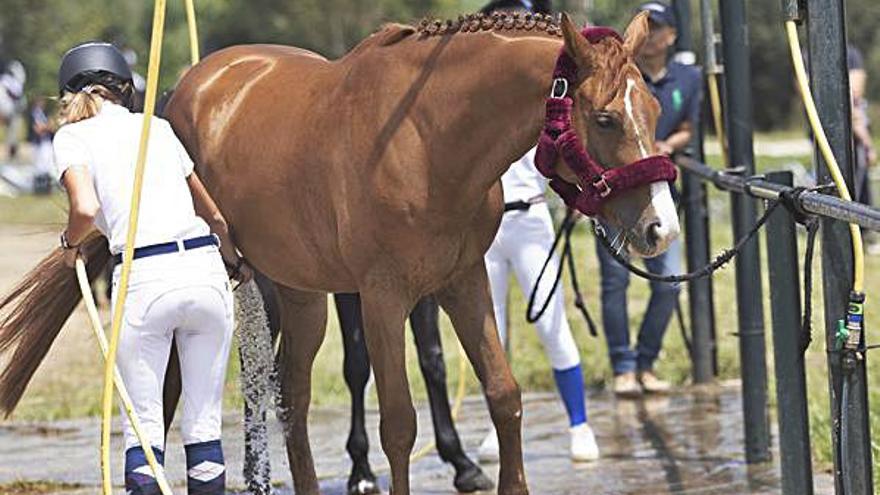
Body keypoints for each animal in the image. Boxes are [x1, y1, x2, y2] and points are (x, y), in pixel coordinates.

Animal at [0, 10, 676, 495]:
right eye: (606, 118)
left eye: (654, 108)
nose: (659, 229)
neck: (429, 138)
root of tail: (183, 90)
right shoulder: (382, 296)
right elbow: (398, 421)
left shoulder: (462, 281)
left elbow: (503, 395)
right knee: (172, 400)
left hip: (300, 293)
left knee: (290, 399)